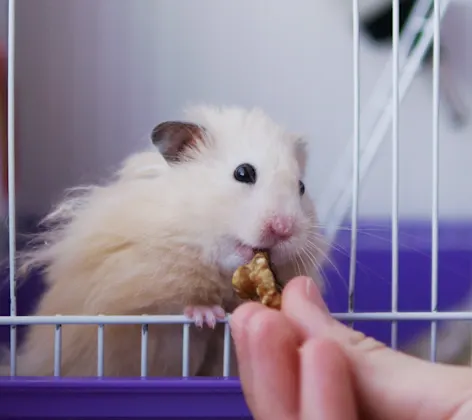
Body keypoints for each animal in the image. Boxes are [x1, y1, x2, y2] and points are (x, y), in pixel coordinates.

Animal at [0, 104, 324, 378]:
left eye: (301, 187)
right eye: (243, 172)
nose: (284, 229)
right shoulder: (134, 290)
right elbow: (170, 306)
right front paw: (207, 315)